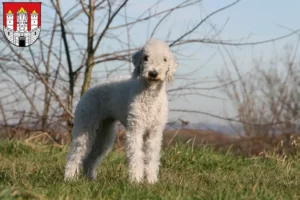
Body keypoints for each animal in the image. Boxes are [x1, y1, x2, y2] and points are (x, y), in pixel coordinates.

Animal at [63, 38, 176, 183]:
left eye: (165, 59)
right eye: (146, 57)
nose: (153, 73)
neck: (150, 95)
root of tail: (88, 91)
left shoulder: (155, 132)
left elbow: (152, 157)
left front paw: (151, 181)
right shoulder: (135, 129)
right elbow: (135, 155)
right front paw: (136, 180)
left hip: (104, 133)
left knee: (90, 159)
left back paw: (91, 179)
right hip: (86, 125)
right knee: (76, 153)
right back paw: (69, 178)